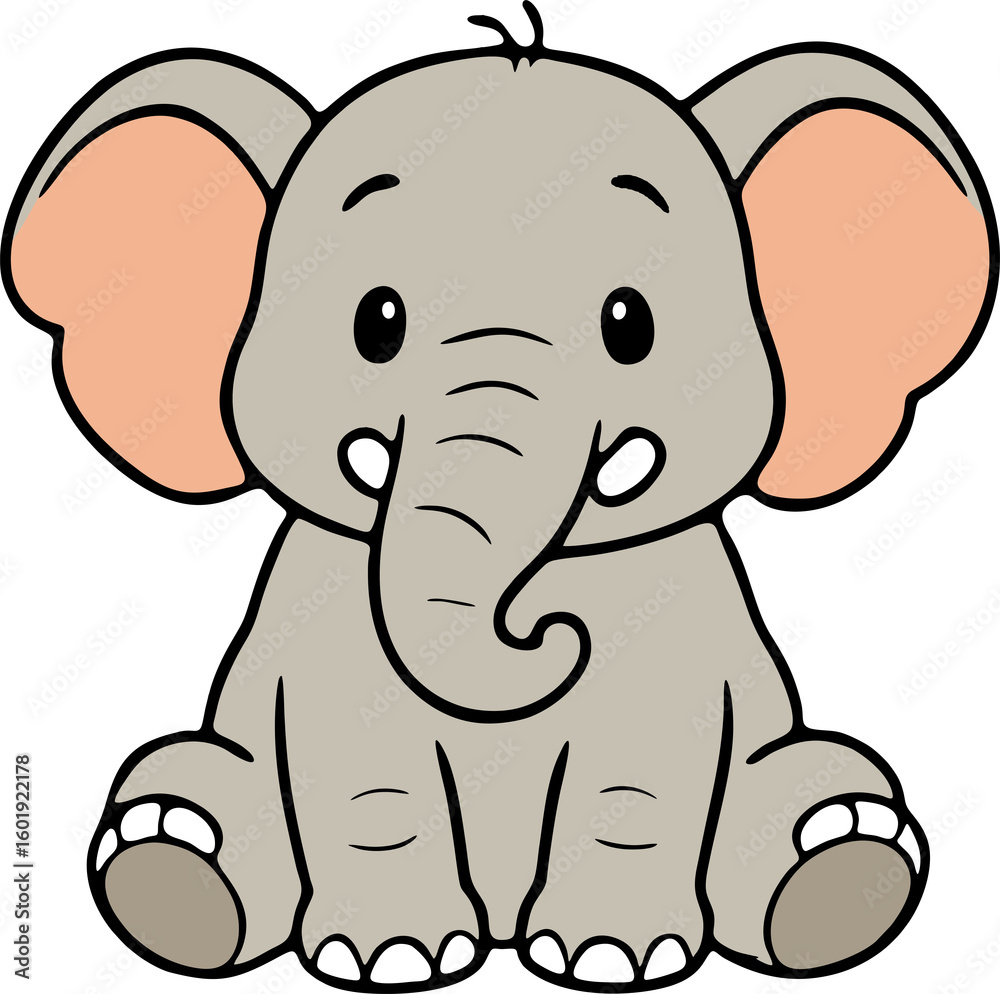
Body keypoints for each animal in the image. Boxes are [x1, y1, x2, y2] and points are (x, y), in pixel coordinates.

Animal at [3, 2, 996, 990]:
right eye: (377, 322)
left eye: (630, 323)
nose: (547, 631)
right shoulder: (328, 621)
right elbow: (365, 769)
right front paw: (392, 958)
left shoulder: (676, 619)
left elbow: (639, 766)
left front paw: (613, 957)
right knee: (197, 795)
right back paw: (173, 868)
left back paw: (837, 867)